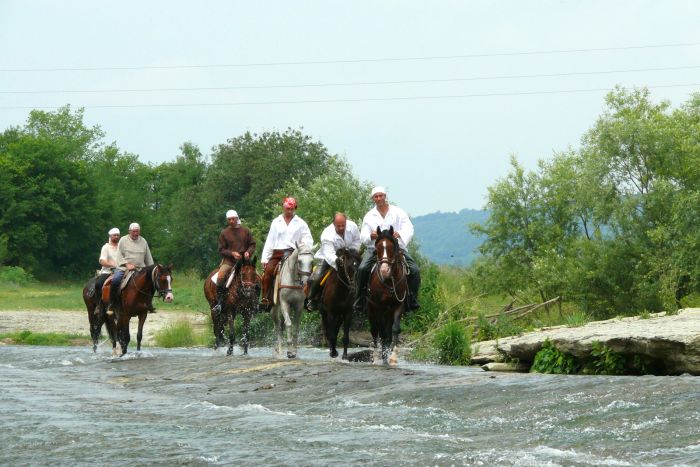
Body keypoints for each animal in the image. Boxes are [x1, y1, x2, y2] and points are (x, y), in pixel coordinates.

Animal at [366, 227, 410, 366]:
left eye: (391, 247)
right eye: (377, 248)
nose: (384, 270)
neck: (389, 281)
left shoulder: (398, 305)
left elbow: (395, 329)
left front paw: (393, 357)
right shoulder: (378, 307)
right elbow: (382, 332)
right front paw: (383, 357)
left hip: (388, 312)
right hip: (371, 309)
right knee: (375, 330)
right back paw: (376, 357)